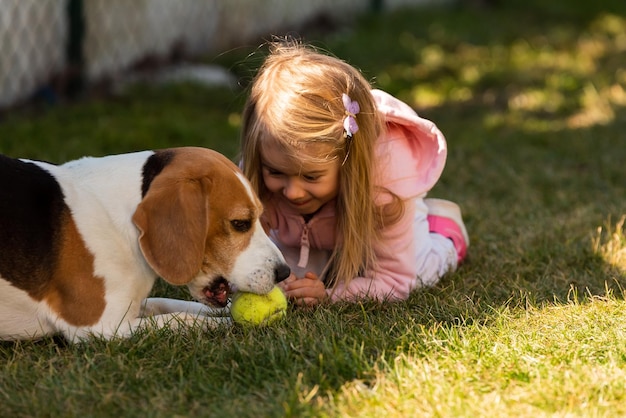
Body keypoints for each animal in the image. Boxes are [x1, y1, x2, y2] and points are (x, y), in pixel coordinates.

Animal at [0, 147, 288, 342]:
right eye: (240, 223)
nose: (284, 273)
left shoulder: (134, 303)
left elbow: (172, 304)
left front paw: (226, 311)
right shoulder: (101, 327)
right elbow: (181, 320)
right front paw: (229, 323)